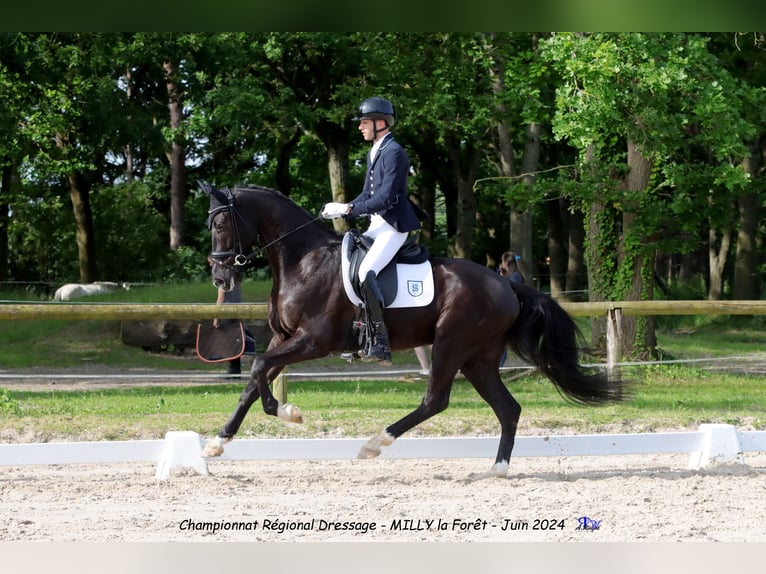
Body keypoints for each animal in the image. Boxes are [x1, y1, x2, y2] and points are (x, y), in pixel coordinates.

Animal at [201, 183, 627, 477]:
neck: (304, 260)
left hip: (452, 344)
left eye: (221, 223)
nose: (221, 278)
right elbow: (254, 378)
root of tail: (507, 286)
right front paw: (219, 442)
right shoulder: (284, 337)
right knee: (507, 408)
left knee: (435, 400)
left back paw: (375, 444)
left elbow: (259, 370)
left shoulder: (314, 341)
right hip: (479, 358)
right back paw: (497, 469)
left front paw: (286, 412)